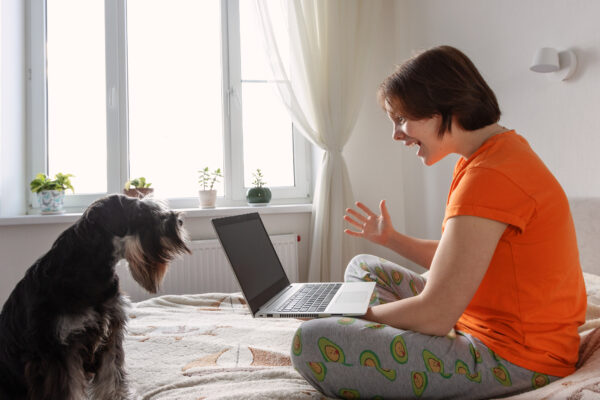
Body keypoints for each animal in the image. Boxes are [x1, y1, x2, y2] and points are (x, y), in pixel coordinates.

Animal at [0, 193, 190, 396]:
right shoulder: (58, 353)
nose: (179, 220)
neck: (86, 269)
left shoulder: (111, 335)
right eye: (140, 212)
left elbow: (112, 378)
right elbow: (70, 391)